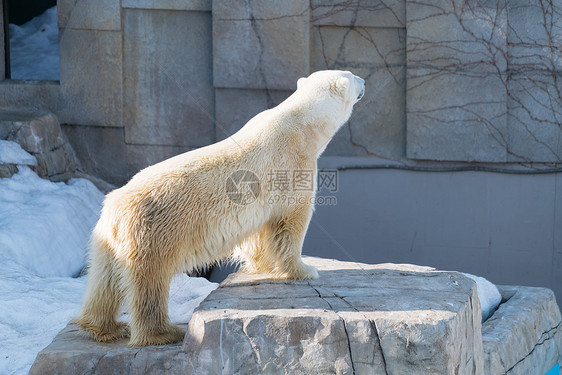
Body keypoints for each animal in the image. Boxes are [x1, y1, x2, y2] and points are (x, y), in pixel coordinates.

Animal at [74, 70, 364, 346]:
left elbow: (259, 234)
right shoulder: (293, 164)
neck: (303, 123)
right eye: (351, 76)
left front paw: (261, 266)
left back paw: (104, 327)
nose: (364, 80)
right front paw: (304, 271)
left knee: (105, 280)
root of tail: (115, 207)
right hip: (154, 232)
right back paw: (162, 333)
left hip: (107, 239)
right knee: (150, 281)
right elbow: (290, 223)